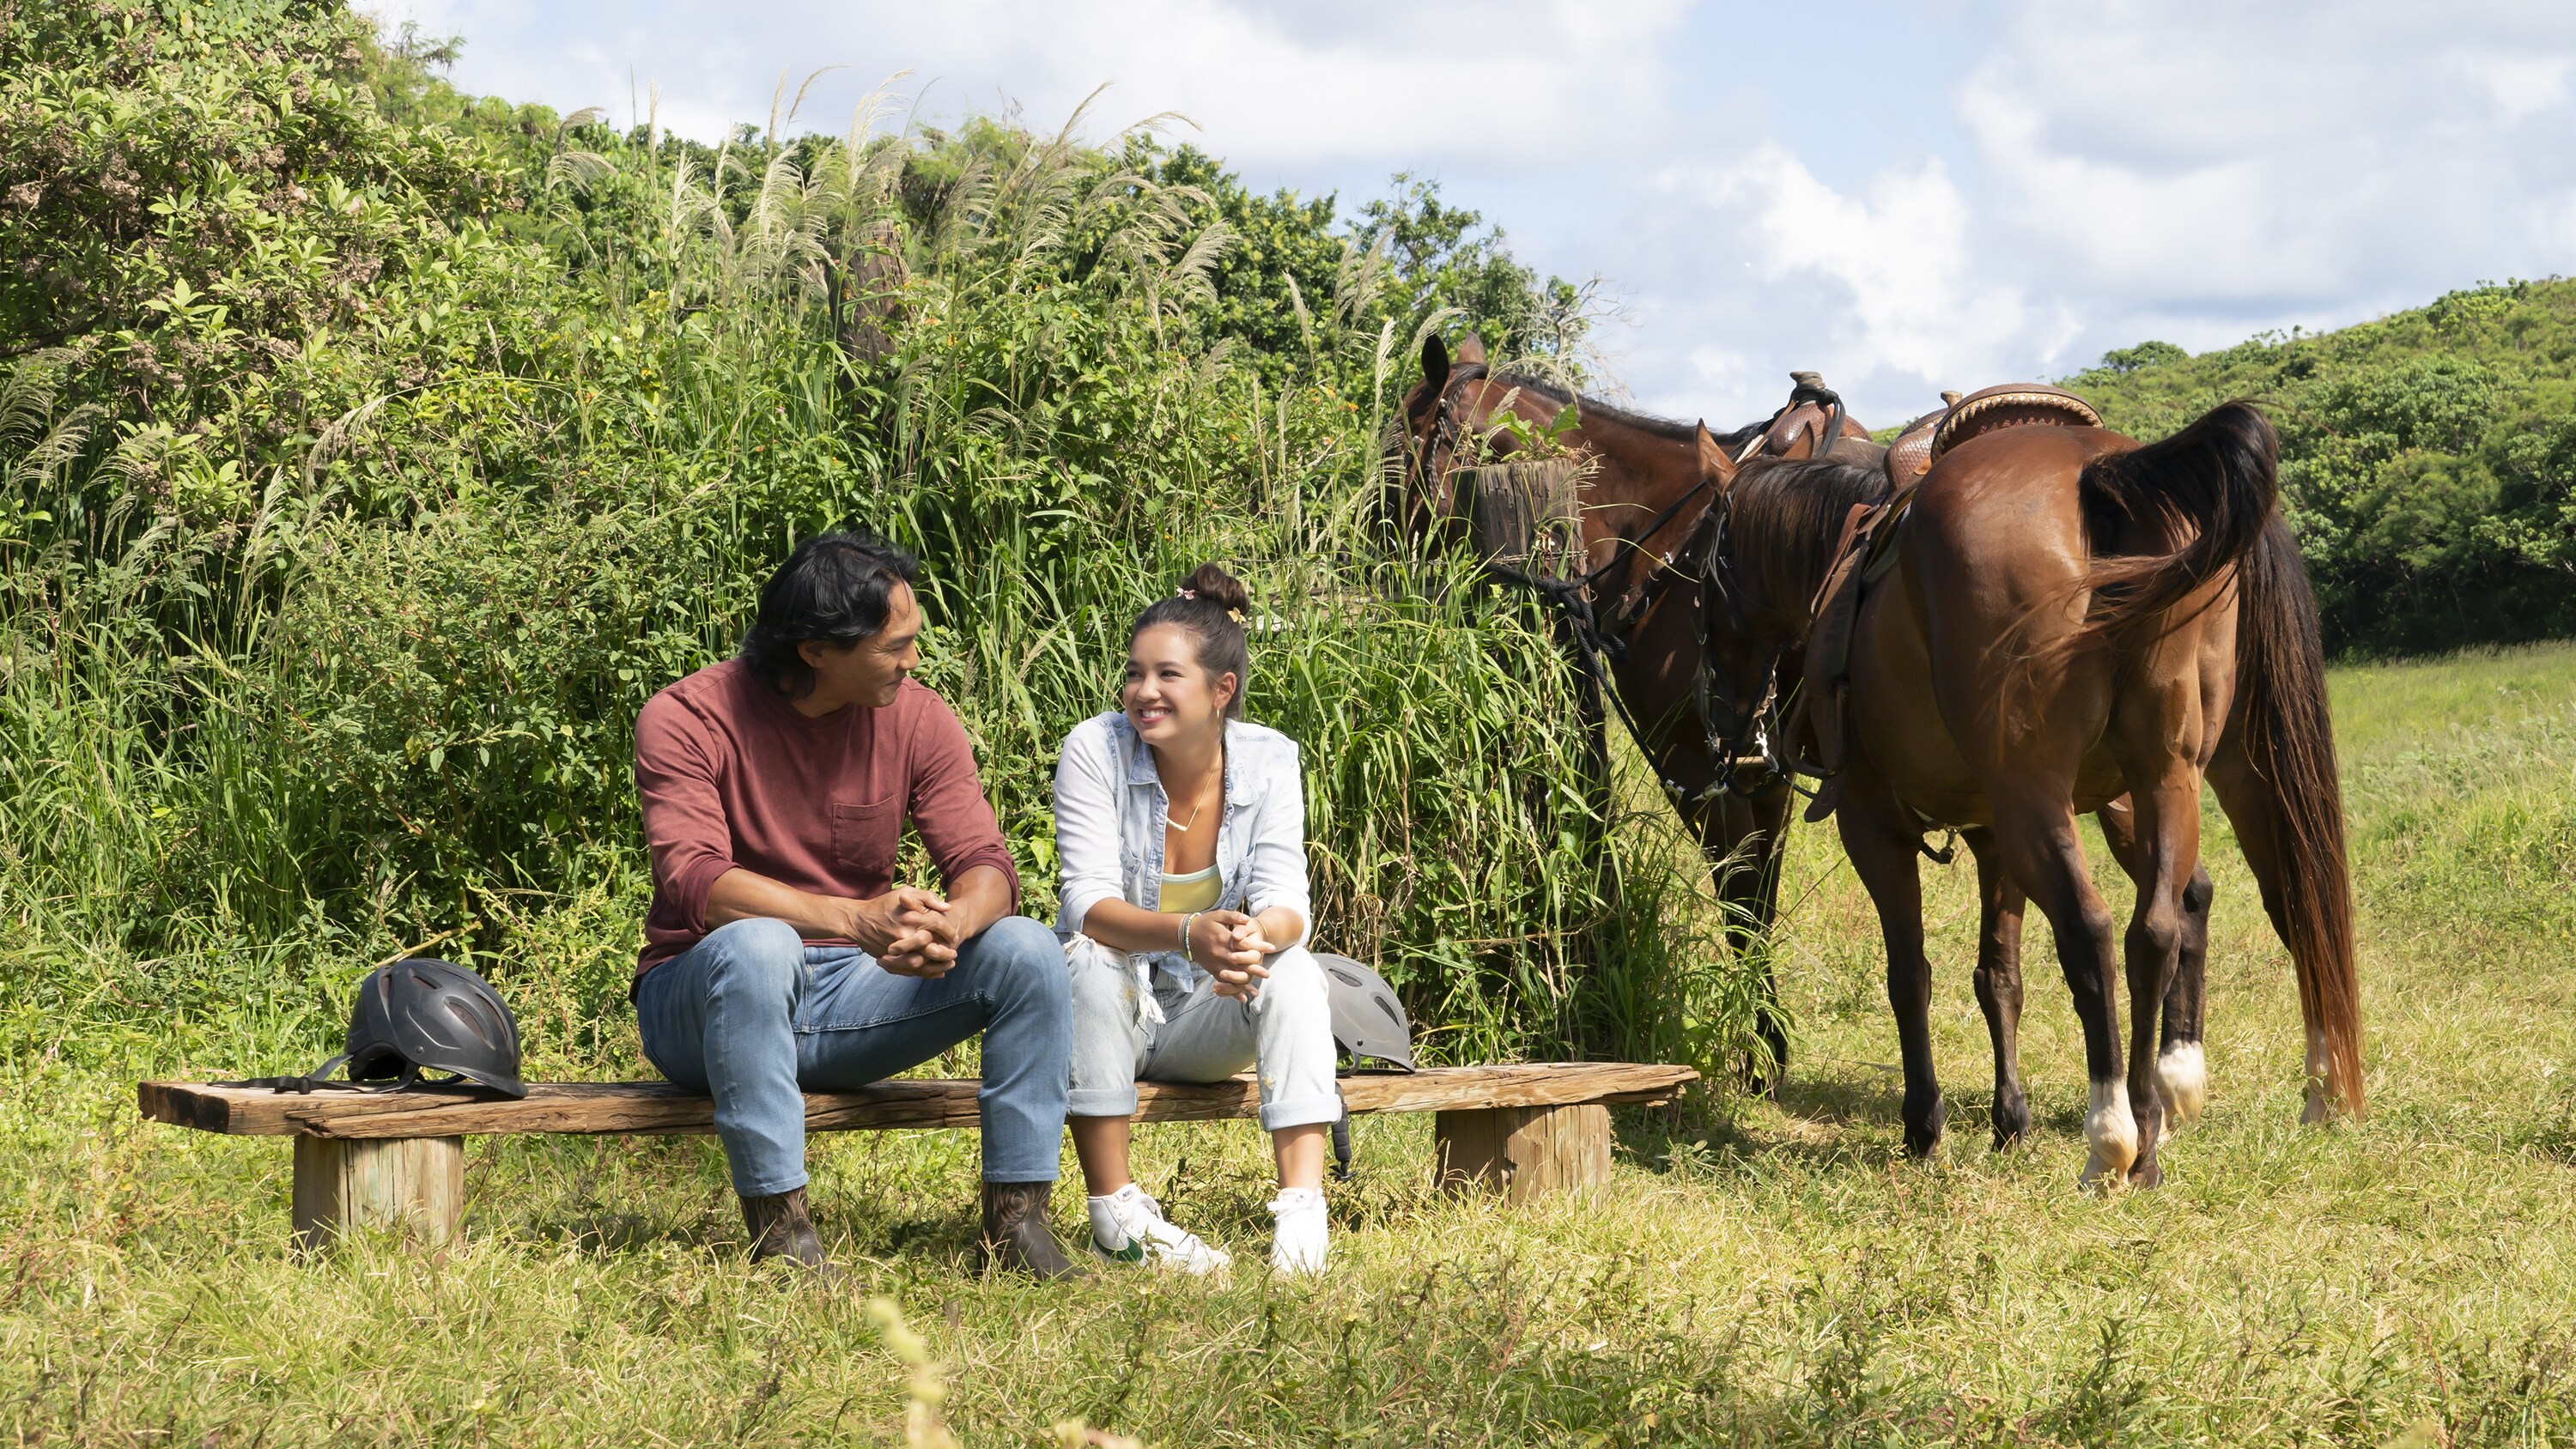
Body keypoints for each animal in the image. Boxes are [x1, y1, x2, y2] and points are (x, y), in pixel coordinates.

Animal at [1391, 331, 1814, 1076]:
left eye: (1398, 451)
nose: (1369, 548)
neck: (1677, 544)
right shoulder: (1764, 774)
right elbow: (1759, 900)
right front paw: (1768, 1047)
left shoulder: (1701, 769)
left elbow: (1741, 902)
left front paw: (1760, 1055)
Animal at [1700, 401, 2360, 1184]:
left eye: (1701, 574)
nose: (1726, 727)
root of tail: (2104, 472)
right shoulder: (1994, 833)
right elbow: (2000, 976)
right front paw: (2009, 1120)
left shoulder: (1874, 825)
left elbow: (1910, 975)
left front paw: (1924, 1127)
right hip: (2165, 779)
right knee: (2176, 923)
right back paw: (2170, 1124)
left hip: (2053, 795)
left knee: (2094, 928)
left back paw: (2112, 1136)